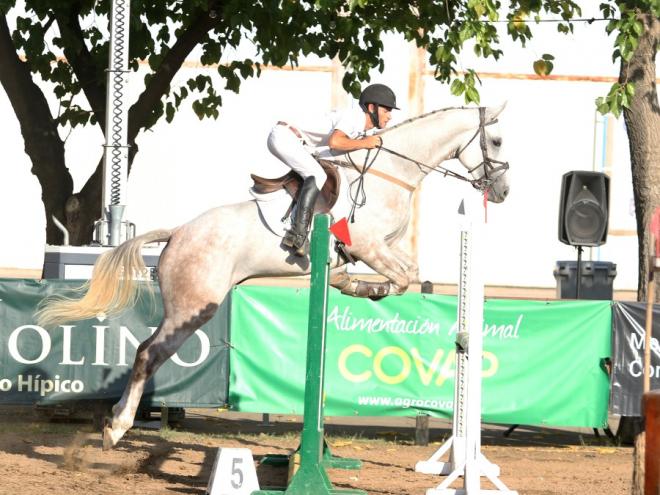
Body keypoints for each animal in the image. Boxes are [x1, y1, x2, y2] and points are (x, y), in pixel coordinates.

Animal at [36, 104, 510, 450]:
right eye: (497, 139)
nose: (503, 193)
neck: (389, 173)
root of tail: (178, 232)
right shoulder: (367, 246)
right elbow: (400, 279)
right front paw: (368, 287)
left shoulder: (379, 249)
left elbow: (408, 272)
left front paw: (351, 284)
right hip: (195, 306)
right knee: (149, 353)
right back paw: (116, 427)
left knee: (145, 351)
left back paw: (114, 423)